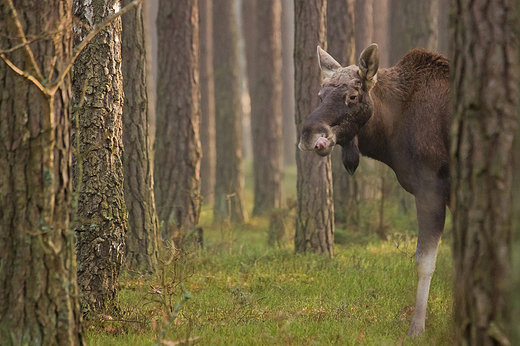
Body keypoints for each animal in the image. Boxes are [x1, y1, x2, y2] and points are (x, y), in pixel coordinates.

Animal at [300, 42, 450, 336]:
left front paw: (417, 327)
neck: (391, 130)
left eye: (352, 96)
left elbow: (425, 261)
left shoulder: (431, 187)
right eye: (321, 95)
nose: (308, 134)